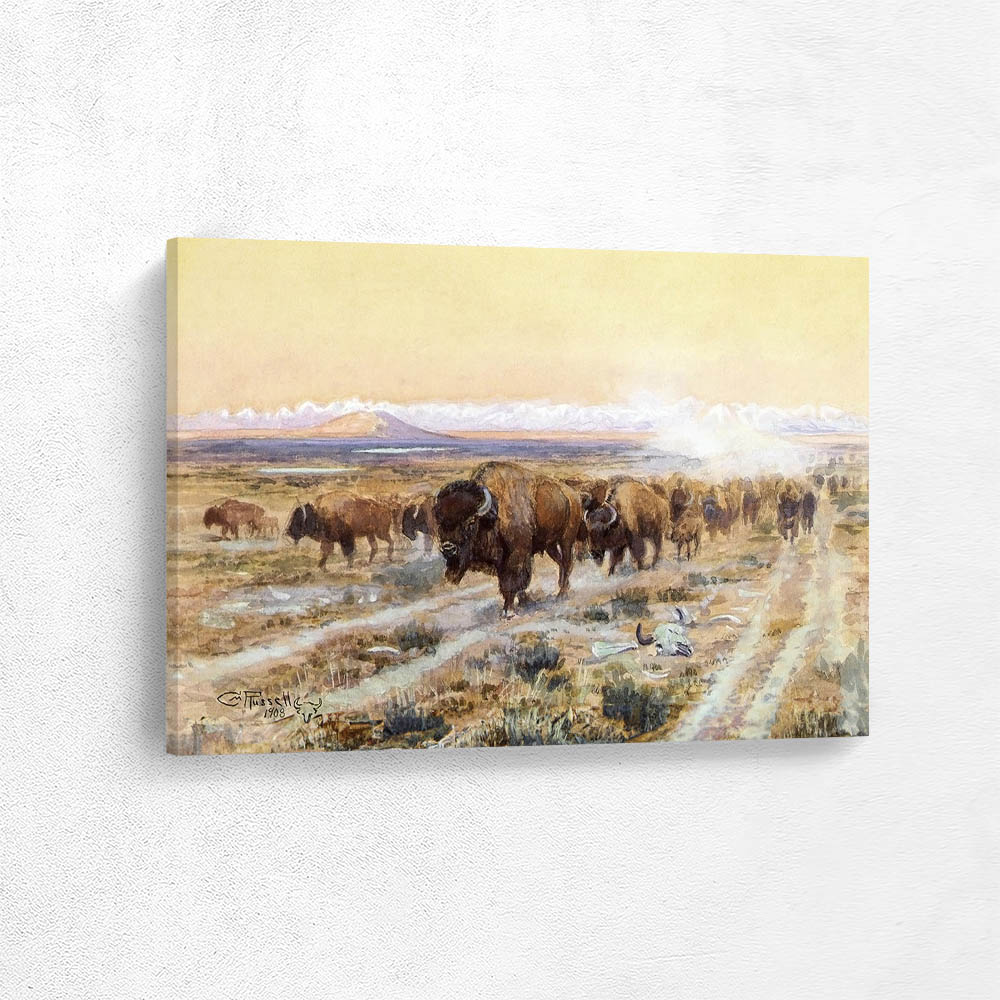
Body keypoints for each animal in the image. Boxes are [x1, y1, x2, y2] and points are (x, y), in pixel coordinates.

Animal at [433, 461, 583, 617]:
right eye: (439, 522)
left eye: (471, 521)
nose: (448, 548)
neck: (495, 512)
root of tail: (573, 495)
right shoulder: (502, 558)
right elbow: (510, 580)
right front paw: (524, 601)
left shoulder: (517, 553)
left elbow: (511, 580)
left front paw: (508, 610)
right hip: (550, 545)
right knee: (560, 562)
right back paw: (562, 587)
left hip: (566, 540)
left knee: (567, 562)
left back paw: (562, 594)